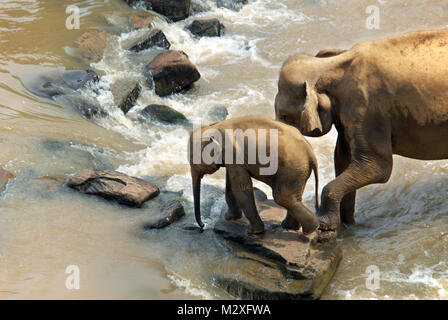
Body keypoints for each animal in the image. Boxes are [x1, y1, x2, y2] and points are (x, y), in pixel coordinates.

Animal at [187, 115, 320, 235]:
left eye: (193, 161)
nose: (202, 226)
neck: (214, 127)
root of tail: (310, 152)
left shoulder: (232, 153)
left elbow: (241, 187)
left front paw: (253, 231)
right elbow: (231, 184)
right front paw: (230, 218)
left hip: (291, 169)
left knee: (282, 197)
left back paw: (311, 229)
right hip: (299, 171)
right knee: (294, 197)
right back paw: (291, 227)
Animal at [272, 28, 448, 230]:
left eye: (285, 116)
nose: (285, 226)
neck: (331, 64)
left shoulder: (367, 110)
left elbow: (377, 165)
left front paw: (325, 226)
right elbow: (343, 159)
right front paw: (347, 225)